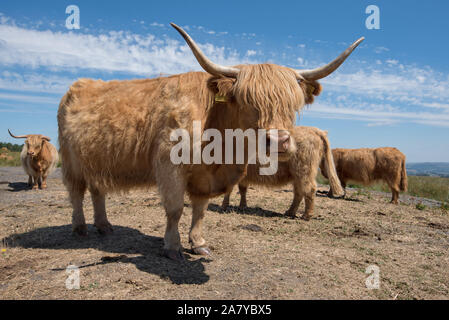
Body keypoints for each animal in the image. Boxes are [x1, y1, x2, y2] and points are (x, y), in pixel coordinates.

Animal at [57, 23, 364, 262]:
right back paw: (80, 227)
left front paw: (199, 244)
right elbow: (175, 209)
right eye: (247, 101)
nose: (279, 140)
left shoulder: (205, 177)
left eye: (293, 104)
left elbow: (200, 210)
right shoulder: (169, 167)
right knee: (76, 193)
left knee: (97, 190)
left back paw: (104, 225)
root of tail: (81, 84)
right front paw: (173, 247)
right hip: (71, 162)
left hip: (95, 161)